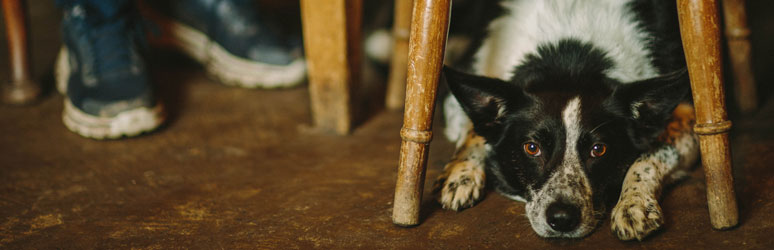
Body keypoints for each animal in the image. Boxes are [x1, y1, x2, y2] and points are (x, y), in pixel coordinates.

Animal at [436, 0, 704, 240]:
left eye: (599, 149)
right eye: (531, 148)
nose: (562, 219)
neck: (570, 60)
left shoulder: (688, 117)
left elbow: (649, 157)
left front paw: (634, 204)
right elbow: (474, 131)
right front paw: (462, 173)